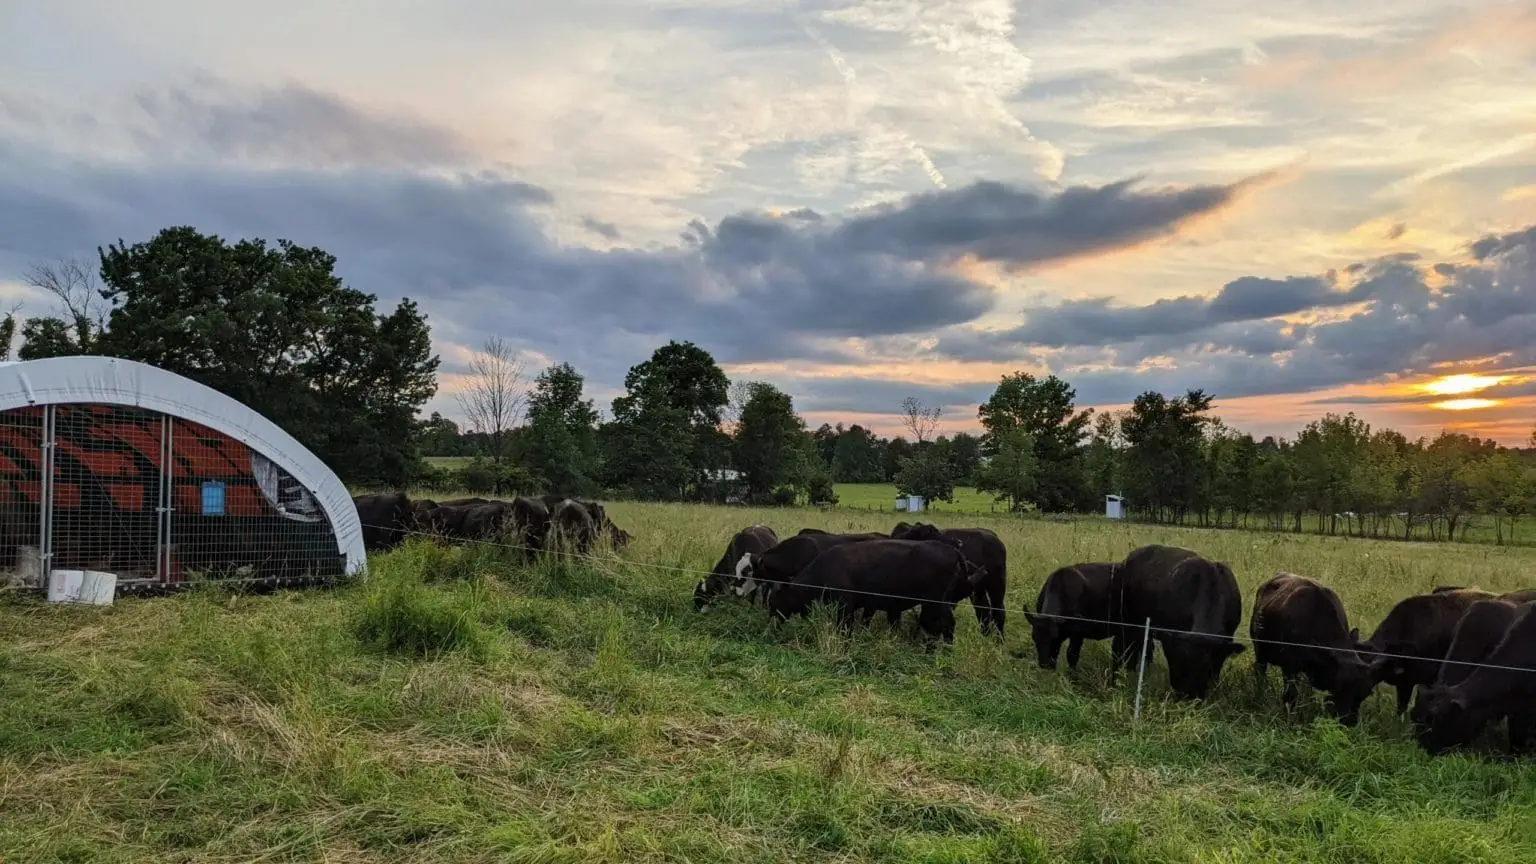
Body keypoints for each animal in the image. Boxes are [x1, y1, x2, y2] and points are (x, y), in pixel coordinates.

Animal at [768, 535, 983, 642]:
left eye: (774, 602)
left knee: (939, 626)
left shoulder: (845, 607)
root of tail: (953, 551)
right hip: (943, 603)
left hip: (934, 603)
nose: (772, 625)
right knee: (945, 626)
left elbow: (845, 628)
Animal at [1105, 544, 1247, 701]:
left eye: (1206, 667)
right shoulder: (1170, 642)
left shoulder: (1225, 642)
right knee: (1120, 648)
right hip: (1127, 621)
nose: (1192, 695)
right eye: (1184, 662)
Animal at [1253, 571, 1376, 725]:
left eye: (1365, 694)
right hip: (1259, 650)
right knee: (1260, 671)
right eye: (1341, 687)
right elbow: (1290, 696)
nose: (1350, 721)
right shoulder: (1290, 668)